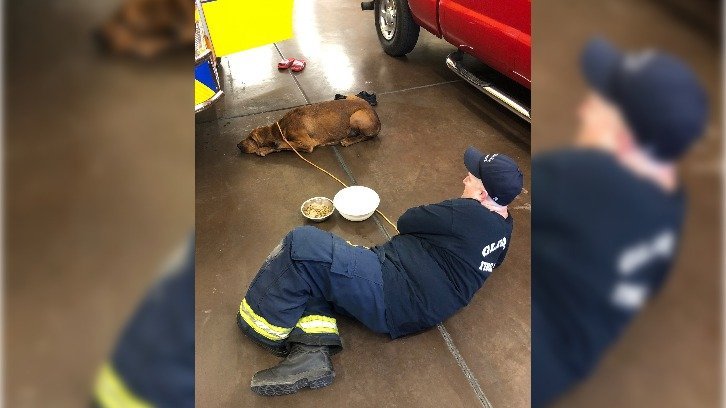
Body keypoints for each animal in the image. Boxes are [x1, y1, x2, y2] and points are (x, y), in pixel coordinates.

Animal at [242, 95, 384, 156]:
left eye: (251, 139)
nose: (238, 146)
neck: (282, 127)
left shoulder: (307, 144)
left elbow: (285, 144)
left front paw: (272, 146)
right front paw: (266, 149)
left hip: (356, 117)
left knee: (366, 136)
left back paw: (348, 140)